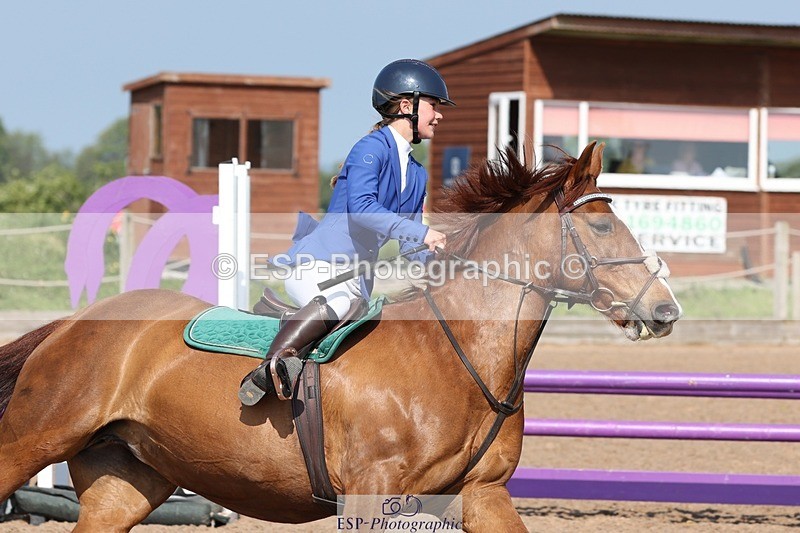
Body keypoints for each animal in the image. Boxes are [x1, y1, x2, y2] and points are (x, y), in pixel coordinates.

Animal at [0, 141, 680, 532]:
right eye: (602, 227)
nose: (665, 309)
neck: (458, 352)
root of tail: (74, 323)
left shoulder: (482, 494)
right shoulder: (372, 495)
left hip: (127, 482)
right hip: (33, 440)